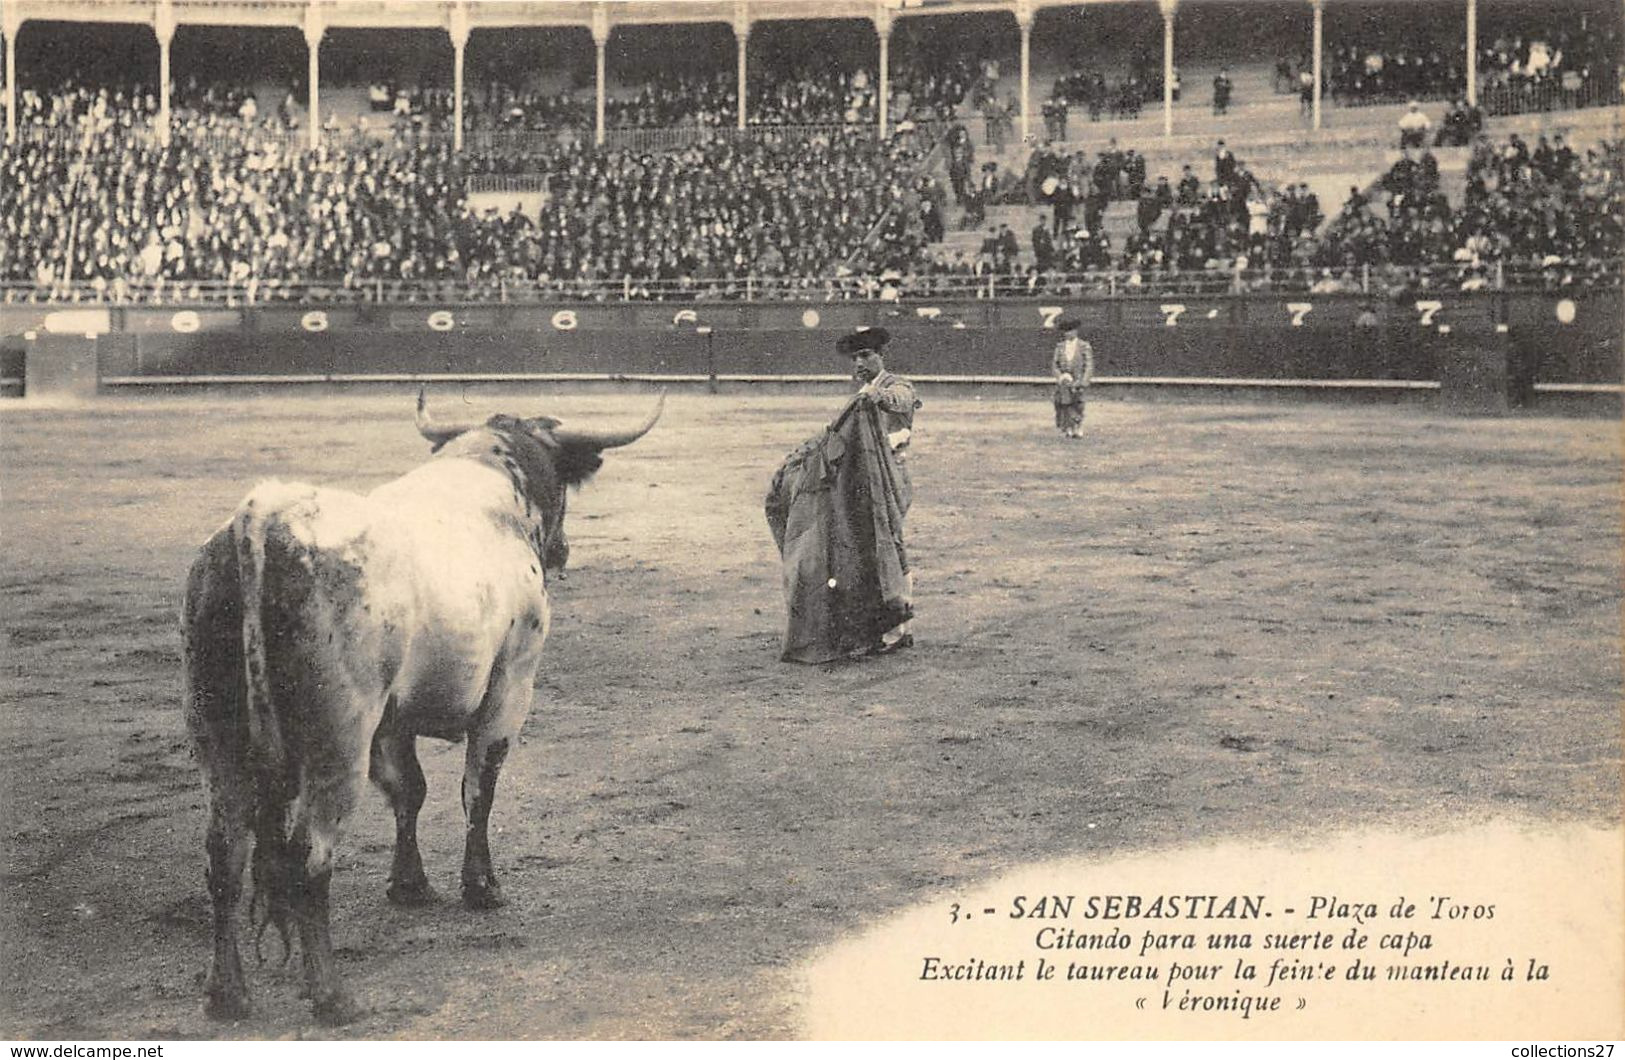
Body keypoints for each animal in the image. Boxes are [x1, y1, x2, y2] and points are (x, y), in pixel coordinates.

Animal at [177, 385, 659, 1020]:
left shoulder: (392, 719)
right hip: (338, 736)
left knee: (225, 853)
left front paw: (409, 884)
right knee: (309, 855)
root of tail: (264, 516)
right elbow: (477, 789)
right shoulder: (510, 688)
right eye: (559, 476)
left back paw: (227, 993)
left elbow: (410, 789)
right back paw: (331, 996)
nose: (562, 551)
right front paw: (481, 888)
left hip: (217, 733)